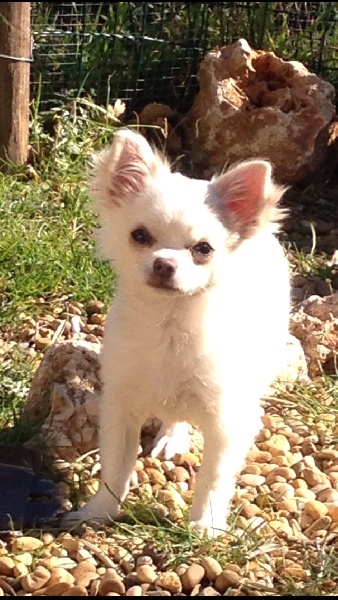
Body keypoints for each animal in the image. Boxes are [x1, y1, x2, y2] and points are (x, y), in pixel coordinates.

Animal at [64, 129, 290, 536]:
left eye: (203, 249)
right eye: (139, 235)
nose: (164, 264)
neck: (168, 327)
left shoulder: (226, 422)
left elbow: (213, 479)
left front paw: (205, 526)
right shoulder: (120, 408)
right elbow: (115, 467)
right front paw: (98, 512)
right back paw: (171, 435)